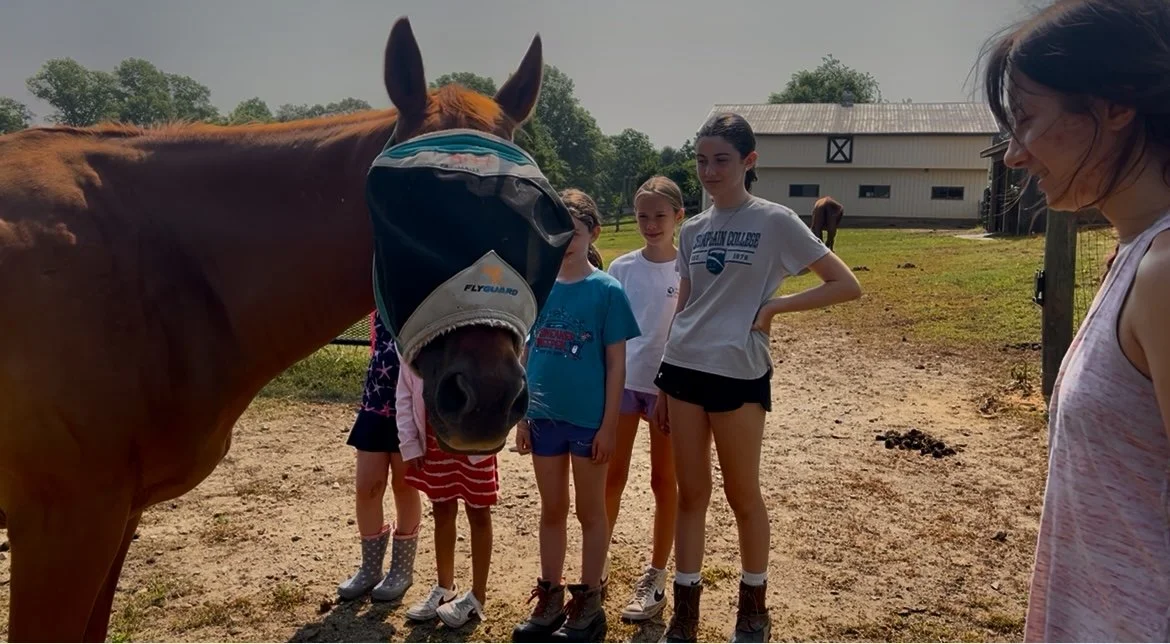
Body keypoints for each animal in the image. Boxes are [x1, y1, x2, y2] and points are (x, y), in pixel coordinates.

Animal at [0, 17, 543, 642]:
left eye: (532, 218)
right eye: (406, 212)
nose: (489, 397)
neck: (147, 262)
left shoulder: (113, 519)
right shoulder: (64, 527)